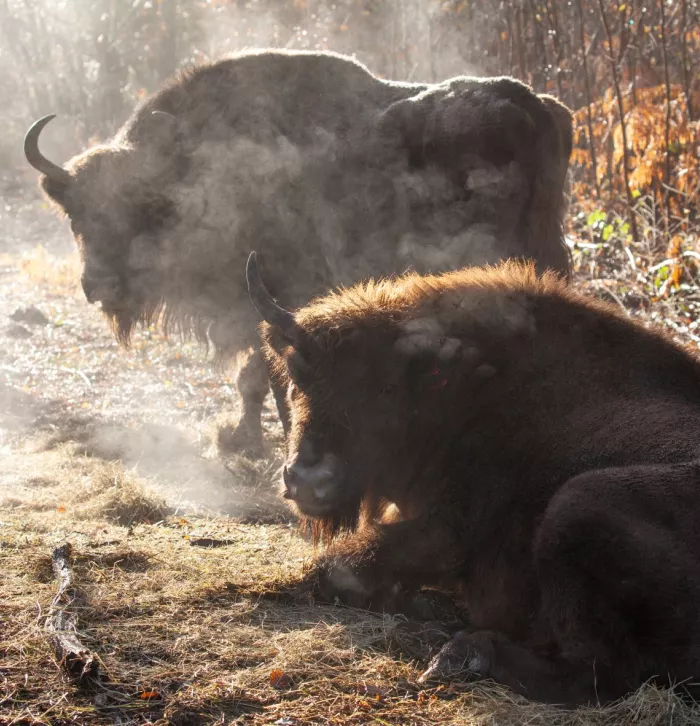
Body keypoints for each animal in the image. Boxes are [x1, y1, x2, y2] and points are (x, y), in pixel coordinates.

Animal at [26, 49, 576, 456]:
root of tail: (534, 106)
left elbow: (258, 375)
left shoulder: (264, 299)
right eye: (76, 217)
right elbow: (252, 376)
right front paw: (242, 437)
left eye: (136, 212)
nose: (96, 285)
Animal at [249, 253, 700, 708]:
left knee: (598, 674)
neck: (460, 395)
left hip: (579, 503)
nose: (309, 479)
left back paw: (461, 654)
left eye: (387, 388)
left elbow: (333, 567)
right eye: (297, 378)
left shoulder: (446, 533)